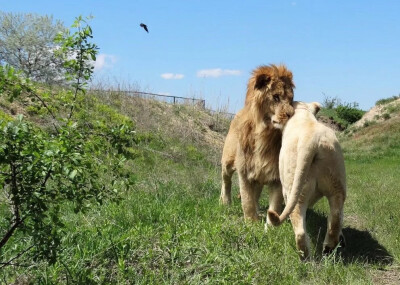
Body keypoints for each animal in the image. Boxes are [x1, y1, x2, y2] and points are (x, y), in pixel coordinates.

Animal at [220, 63, 296, 220]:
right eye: (276, 97)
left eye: (291, 99)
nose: (292, 114)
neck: (265, 135)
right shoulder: (244, 171)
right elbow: (247, 200)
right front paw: (250, 222)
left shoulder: (275, 176)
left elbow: (274, 205)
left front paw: (269, 223)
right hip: (227, 161)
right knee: (225, 181)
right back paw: (225, 202)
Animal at [268, 101, 346, 258]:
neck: (304, 116)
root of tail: (312, 140)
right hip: (337, 184)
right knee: (335, 218)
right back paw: (328, 249)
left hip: (294, 188)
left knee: (299, 230)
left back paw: (305, 257)